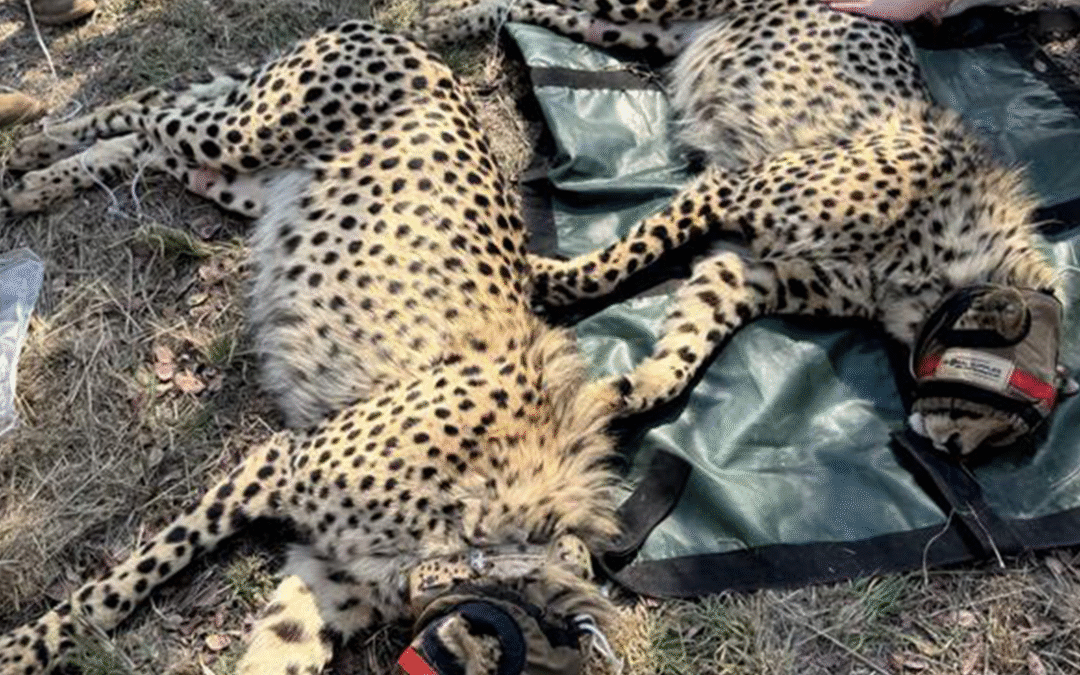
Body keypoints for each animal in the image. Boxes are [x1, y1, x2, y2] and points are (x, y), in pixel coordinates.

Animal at [0, 20, 623, 675]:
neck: (485, 532)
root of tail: (414, 47)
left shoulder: (323, 575)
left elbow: (279, 652)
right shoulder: (279, 463)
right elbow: (141, 571)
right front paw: (28, 647)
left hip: (247, 181)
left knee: (152, 143)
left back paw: (44, 177)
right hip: (244, 134)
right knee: (151, 106)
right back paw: (36, 151)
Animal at [410, 0, 1070, 456]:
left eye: (1009, 433)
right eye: (992, 390)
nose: (955, 451)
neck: (941, 259)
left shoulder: (744, 271)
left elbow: (687, 349)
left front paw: (630, 389)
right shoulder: (732, 185)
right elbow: (622, 261)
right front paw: (542, 275)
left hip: (641, 34)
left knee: (548, 11)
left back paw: (450, 24)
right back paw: (441, 19)